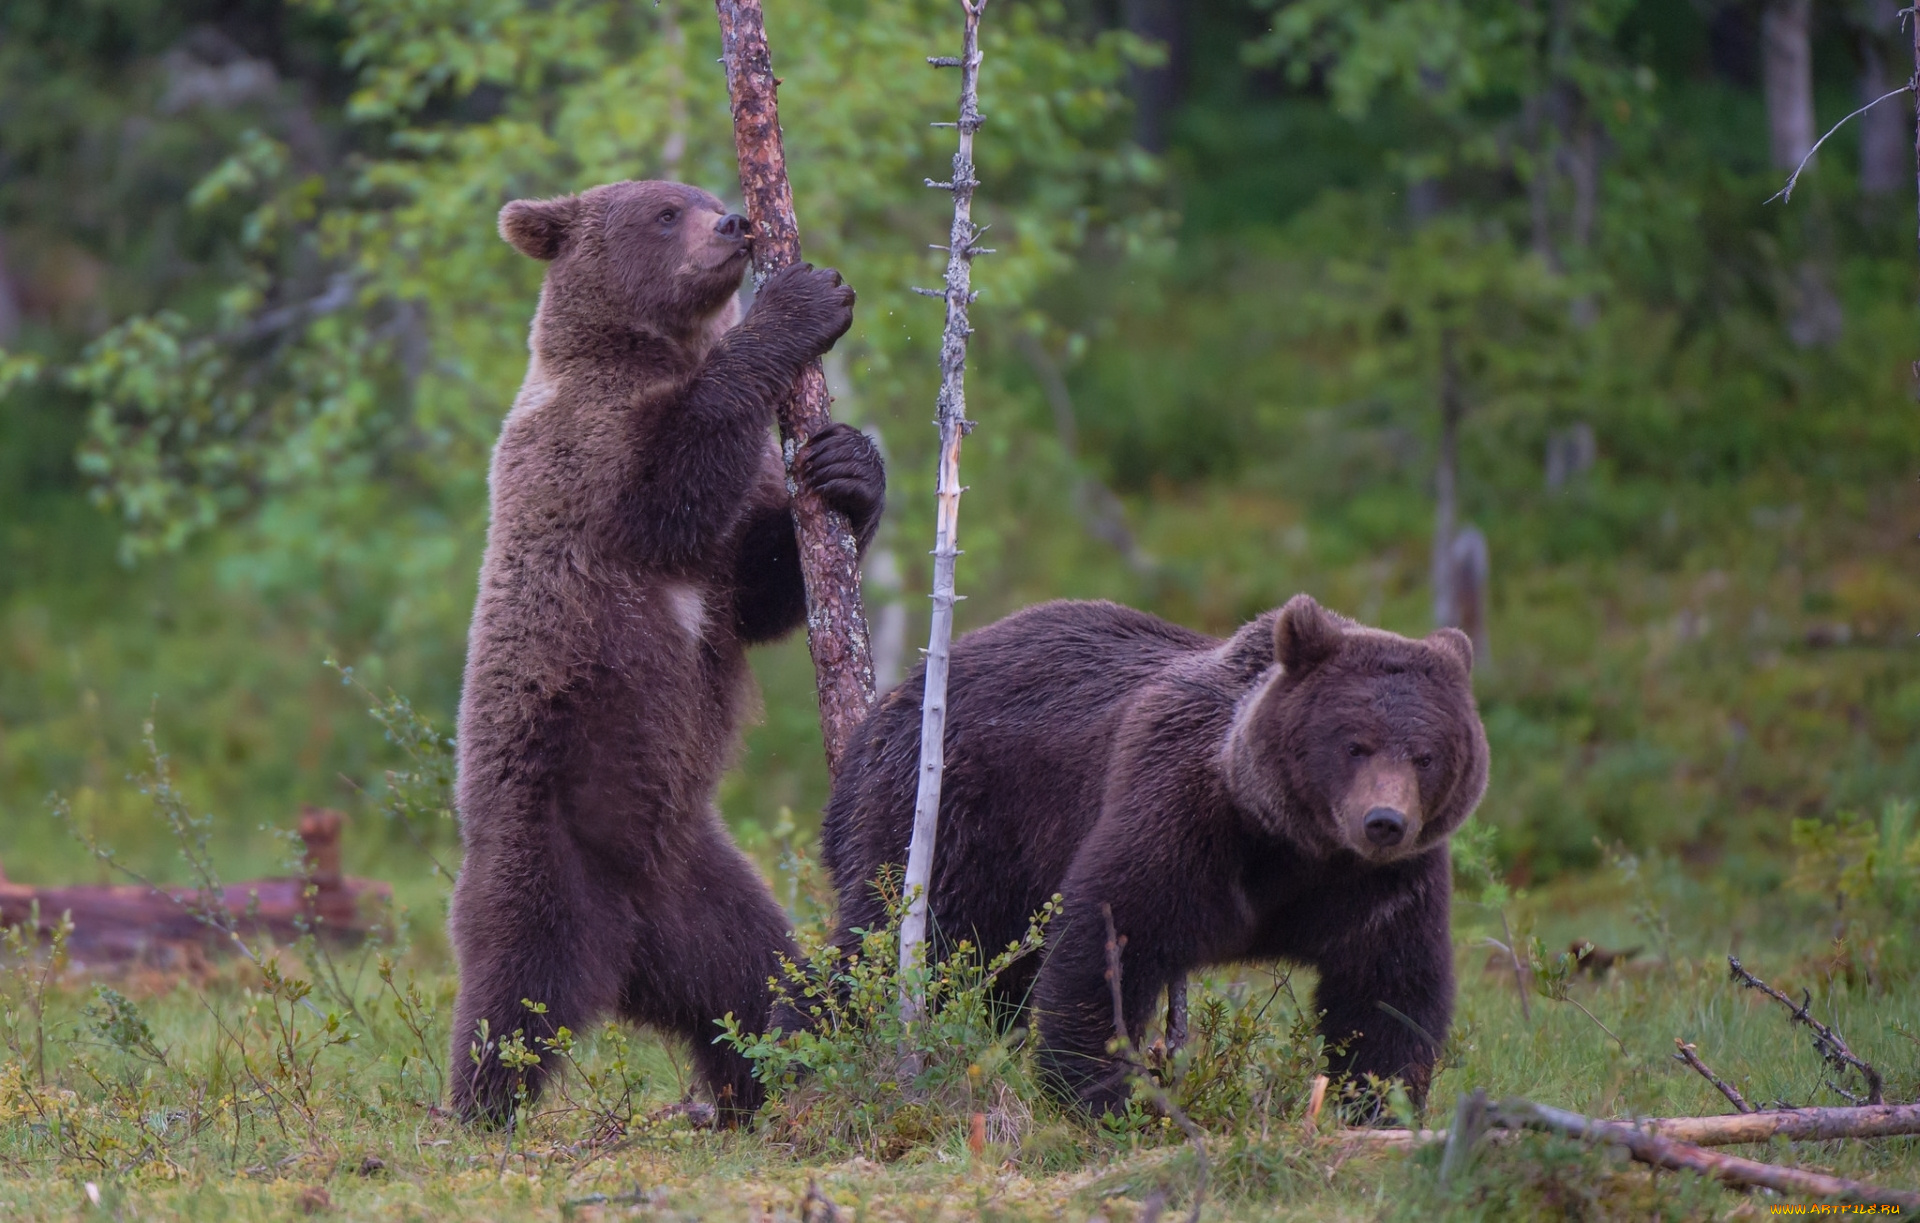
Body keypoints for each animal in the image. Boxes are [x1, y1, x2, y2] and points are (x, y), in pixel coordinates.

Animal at [449, 181, 883, 1128]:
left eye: (708, 197)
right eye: (662, 211)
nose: (736, 223)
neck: (644, 354)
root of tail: (629, 948)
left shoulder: (726, 555)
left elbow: (759, 581)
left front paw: (851, 465)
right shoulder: (583, 457)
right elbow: (672, 484)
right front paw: (803, 301)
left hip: (699, 880)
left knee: (753, 976)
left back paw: (773, 1071)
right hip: (545, 845)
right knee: (514, 988)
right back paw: (478, 1105)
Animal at [817, 595, 1489, 1113]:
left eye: (1425, 754)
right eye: (1355, 745)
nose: (1384, 822)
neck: (1285, 839)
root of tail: (899, 695)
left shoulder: (1381, 885)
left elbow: (1389, 987)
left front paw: (1380, 1100)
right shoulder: (1180, 815)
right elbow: (1110, 941)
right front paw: (1102, 1094)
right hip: (948, 813)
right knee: (901, 940)